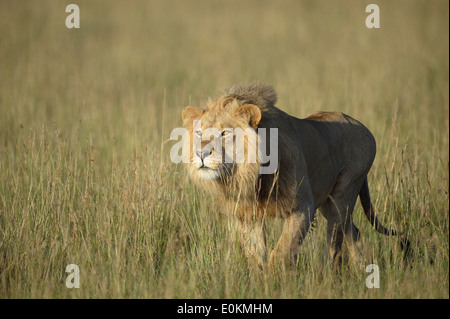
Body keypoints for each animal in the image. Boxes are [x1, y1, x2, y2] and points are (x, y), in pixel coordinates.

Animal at [180, 82, 408, 268]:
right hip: (328, 202)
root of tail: (365, 128)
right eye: (199, 133)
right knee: (353, 232)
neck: (249, 176)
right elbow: (256, 255)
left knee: (334, 245)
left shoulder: (303, 207)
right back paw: (363, 269)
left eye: (225, 133)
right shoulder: (248, 215)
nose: (200, 153)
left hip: (343, 195)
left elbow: (281, 251)